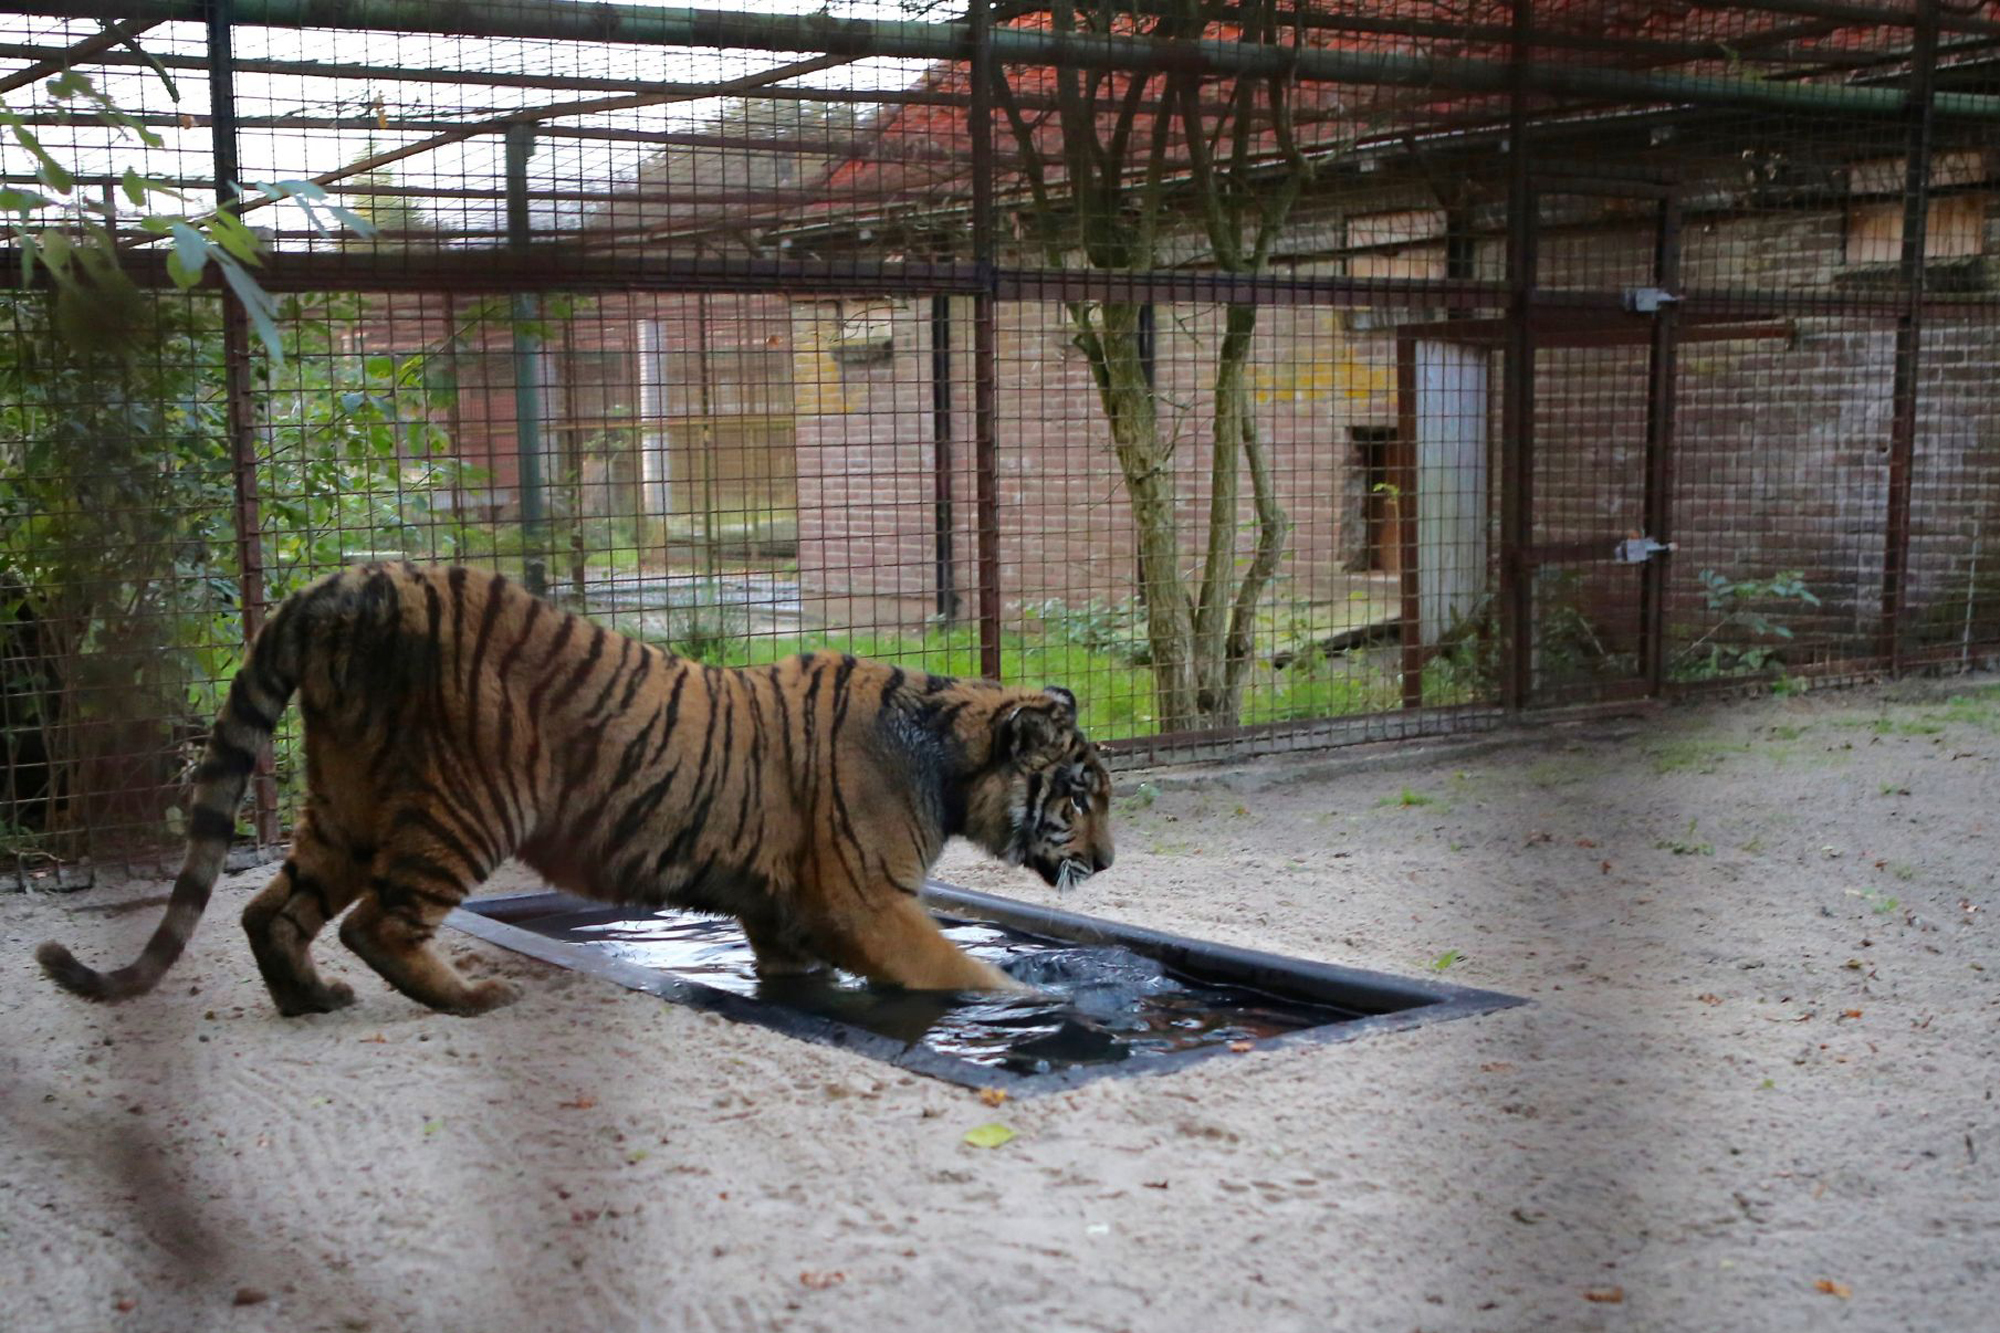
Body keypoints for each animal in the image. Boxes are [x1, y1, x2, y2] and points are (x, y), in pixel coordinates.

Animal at [37, 563, 1115, 1017]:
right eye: (1080, 796)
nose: (1107, 862)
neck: (947, 753)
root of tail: (350, 581)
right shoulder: (866, 900)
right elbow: (955, 967)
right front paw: (1033, 998)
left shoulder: (784, 907)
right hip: (468, 803)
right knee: (378, 923)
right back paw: (469, 997)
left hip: (343, 804)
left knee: (270, 910)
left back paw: (311, 1002)